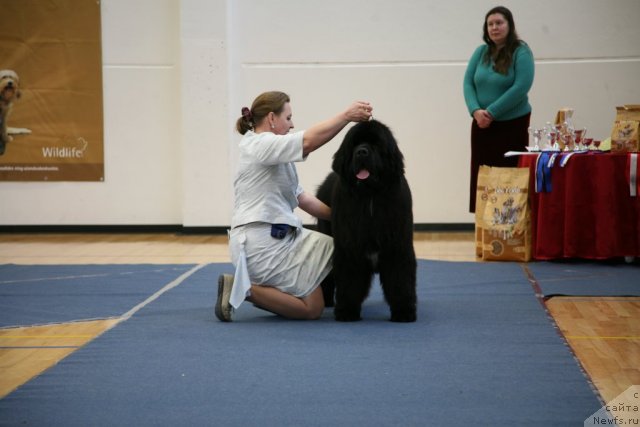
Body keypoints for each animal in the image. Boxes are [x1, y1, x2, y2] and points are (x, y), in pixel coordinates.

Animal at [318, 119, 418, 320]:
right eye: (354, 144)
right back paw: (326, 301)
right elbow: (349, 282)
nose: (361, 152)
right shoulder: (349, 248)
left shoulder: (398, 246)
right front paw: (347, 312)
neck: (370, 195)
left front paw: (404, 312)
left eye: (376, 144)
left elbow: (400, 280)